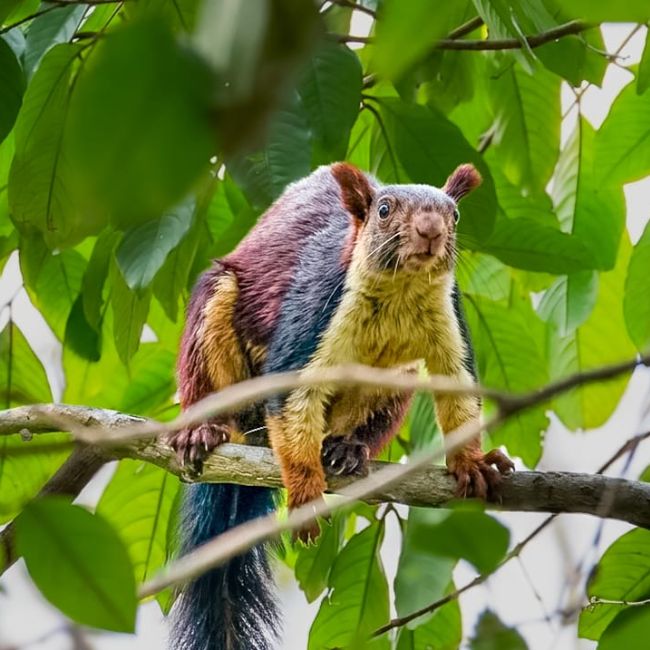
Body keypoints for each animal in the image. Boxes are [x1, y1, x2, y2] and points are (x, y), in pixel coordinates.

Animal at [168, 162, 514, 650]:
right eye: (384, 210)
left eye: (455, 215)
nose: (430, 230)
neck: (401, 292)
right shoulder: (315, 309)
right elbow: (292, 401)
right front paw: (306, 492)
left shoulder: (451, 320)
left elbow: (459, 393)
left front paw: (472, 462)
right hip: (215, 314)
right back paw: (203, 429)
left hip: (396, 381)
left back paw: (347, 448)